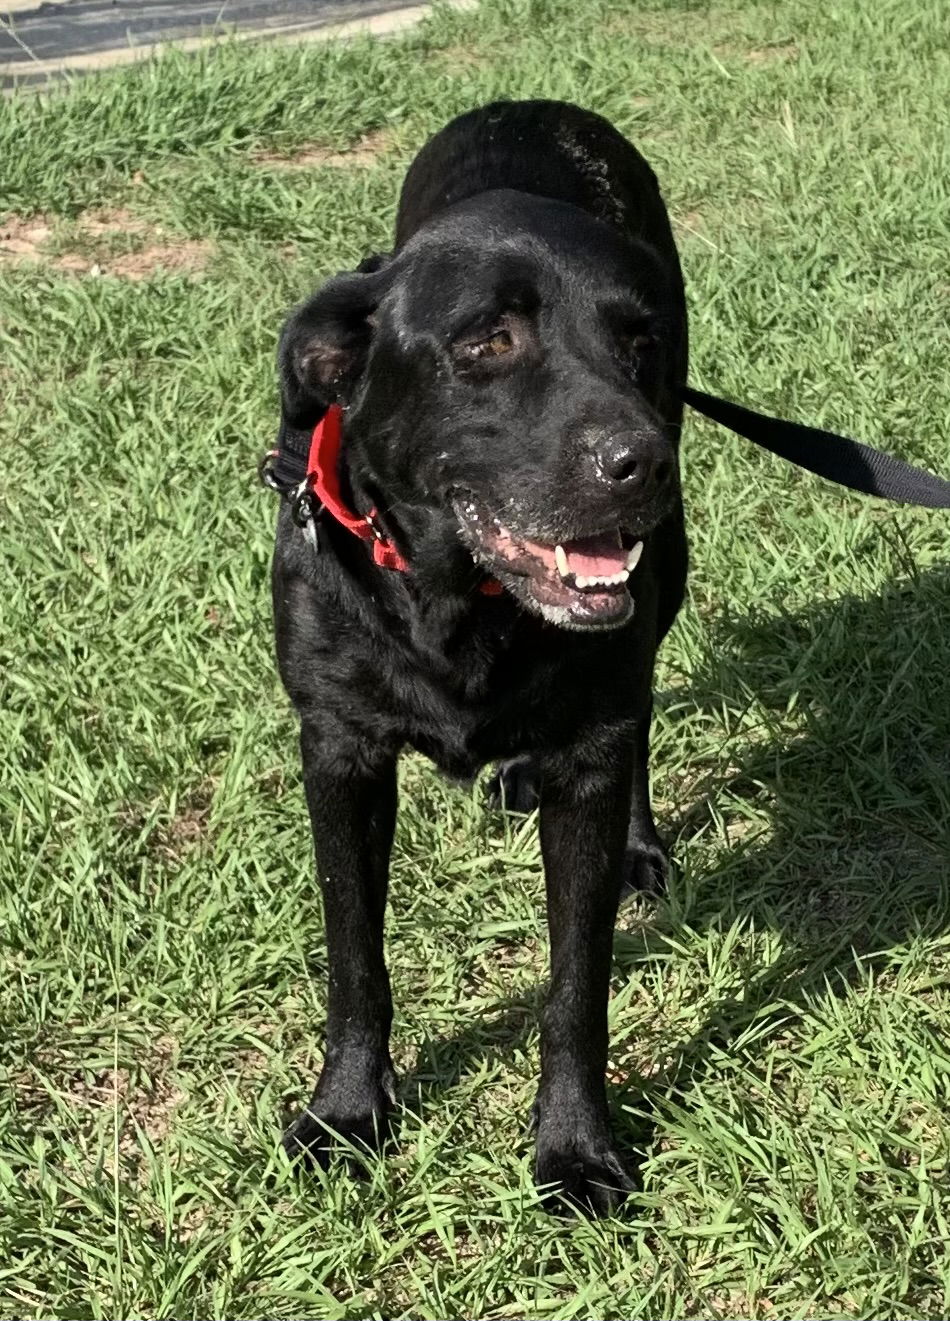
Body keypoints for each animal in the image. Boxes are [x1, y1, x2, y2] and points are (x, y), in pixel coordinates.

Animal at [273, 100, 692, 1215]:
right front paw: (346, 1113)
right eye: (488, 341)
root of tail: (532, 105)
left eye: (638, 341)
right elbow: (354, 961)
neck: (459, 604)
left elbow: (575, 987)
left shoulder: (589, 751)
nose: (644, 462)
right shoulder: (339, 751)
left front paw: (577, 1149)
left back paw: (639, 843)